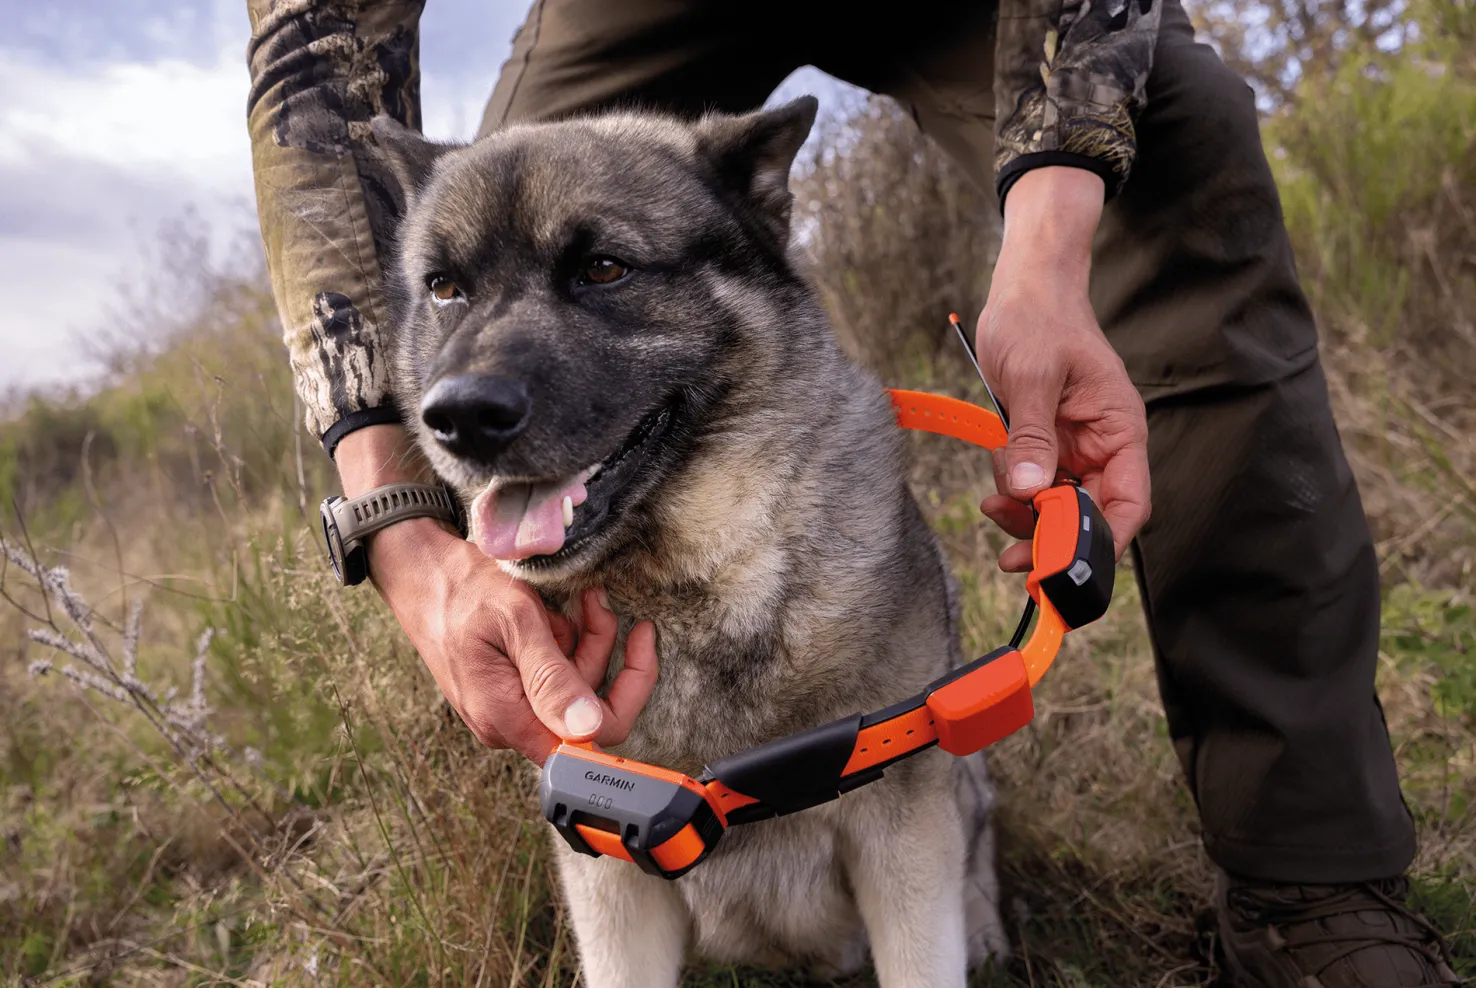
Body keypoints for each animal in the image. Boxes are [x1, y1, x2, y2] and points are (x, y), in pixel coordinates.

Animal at [369, 94, 1010, 987]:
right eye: (444, 288)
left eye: (604, 269)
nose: (459, 417)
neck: (686, 587)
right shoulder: (607, 875)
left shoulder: (904, 831)